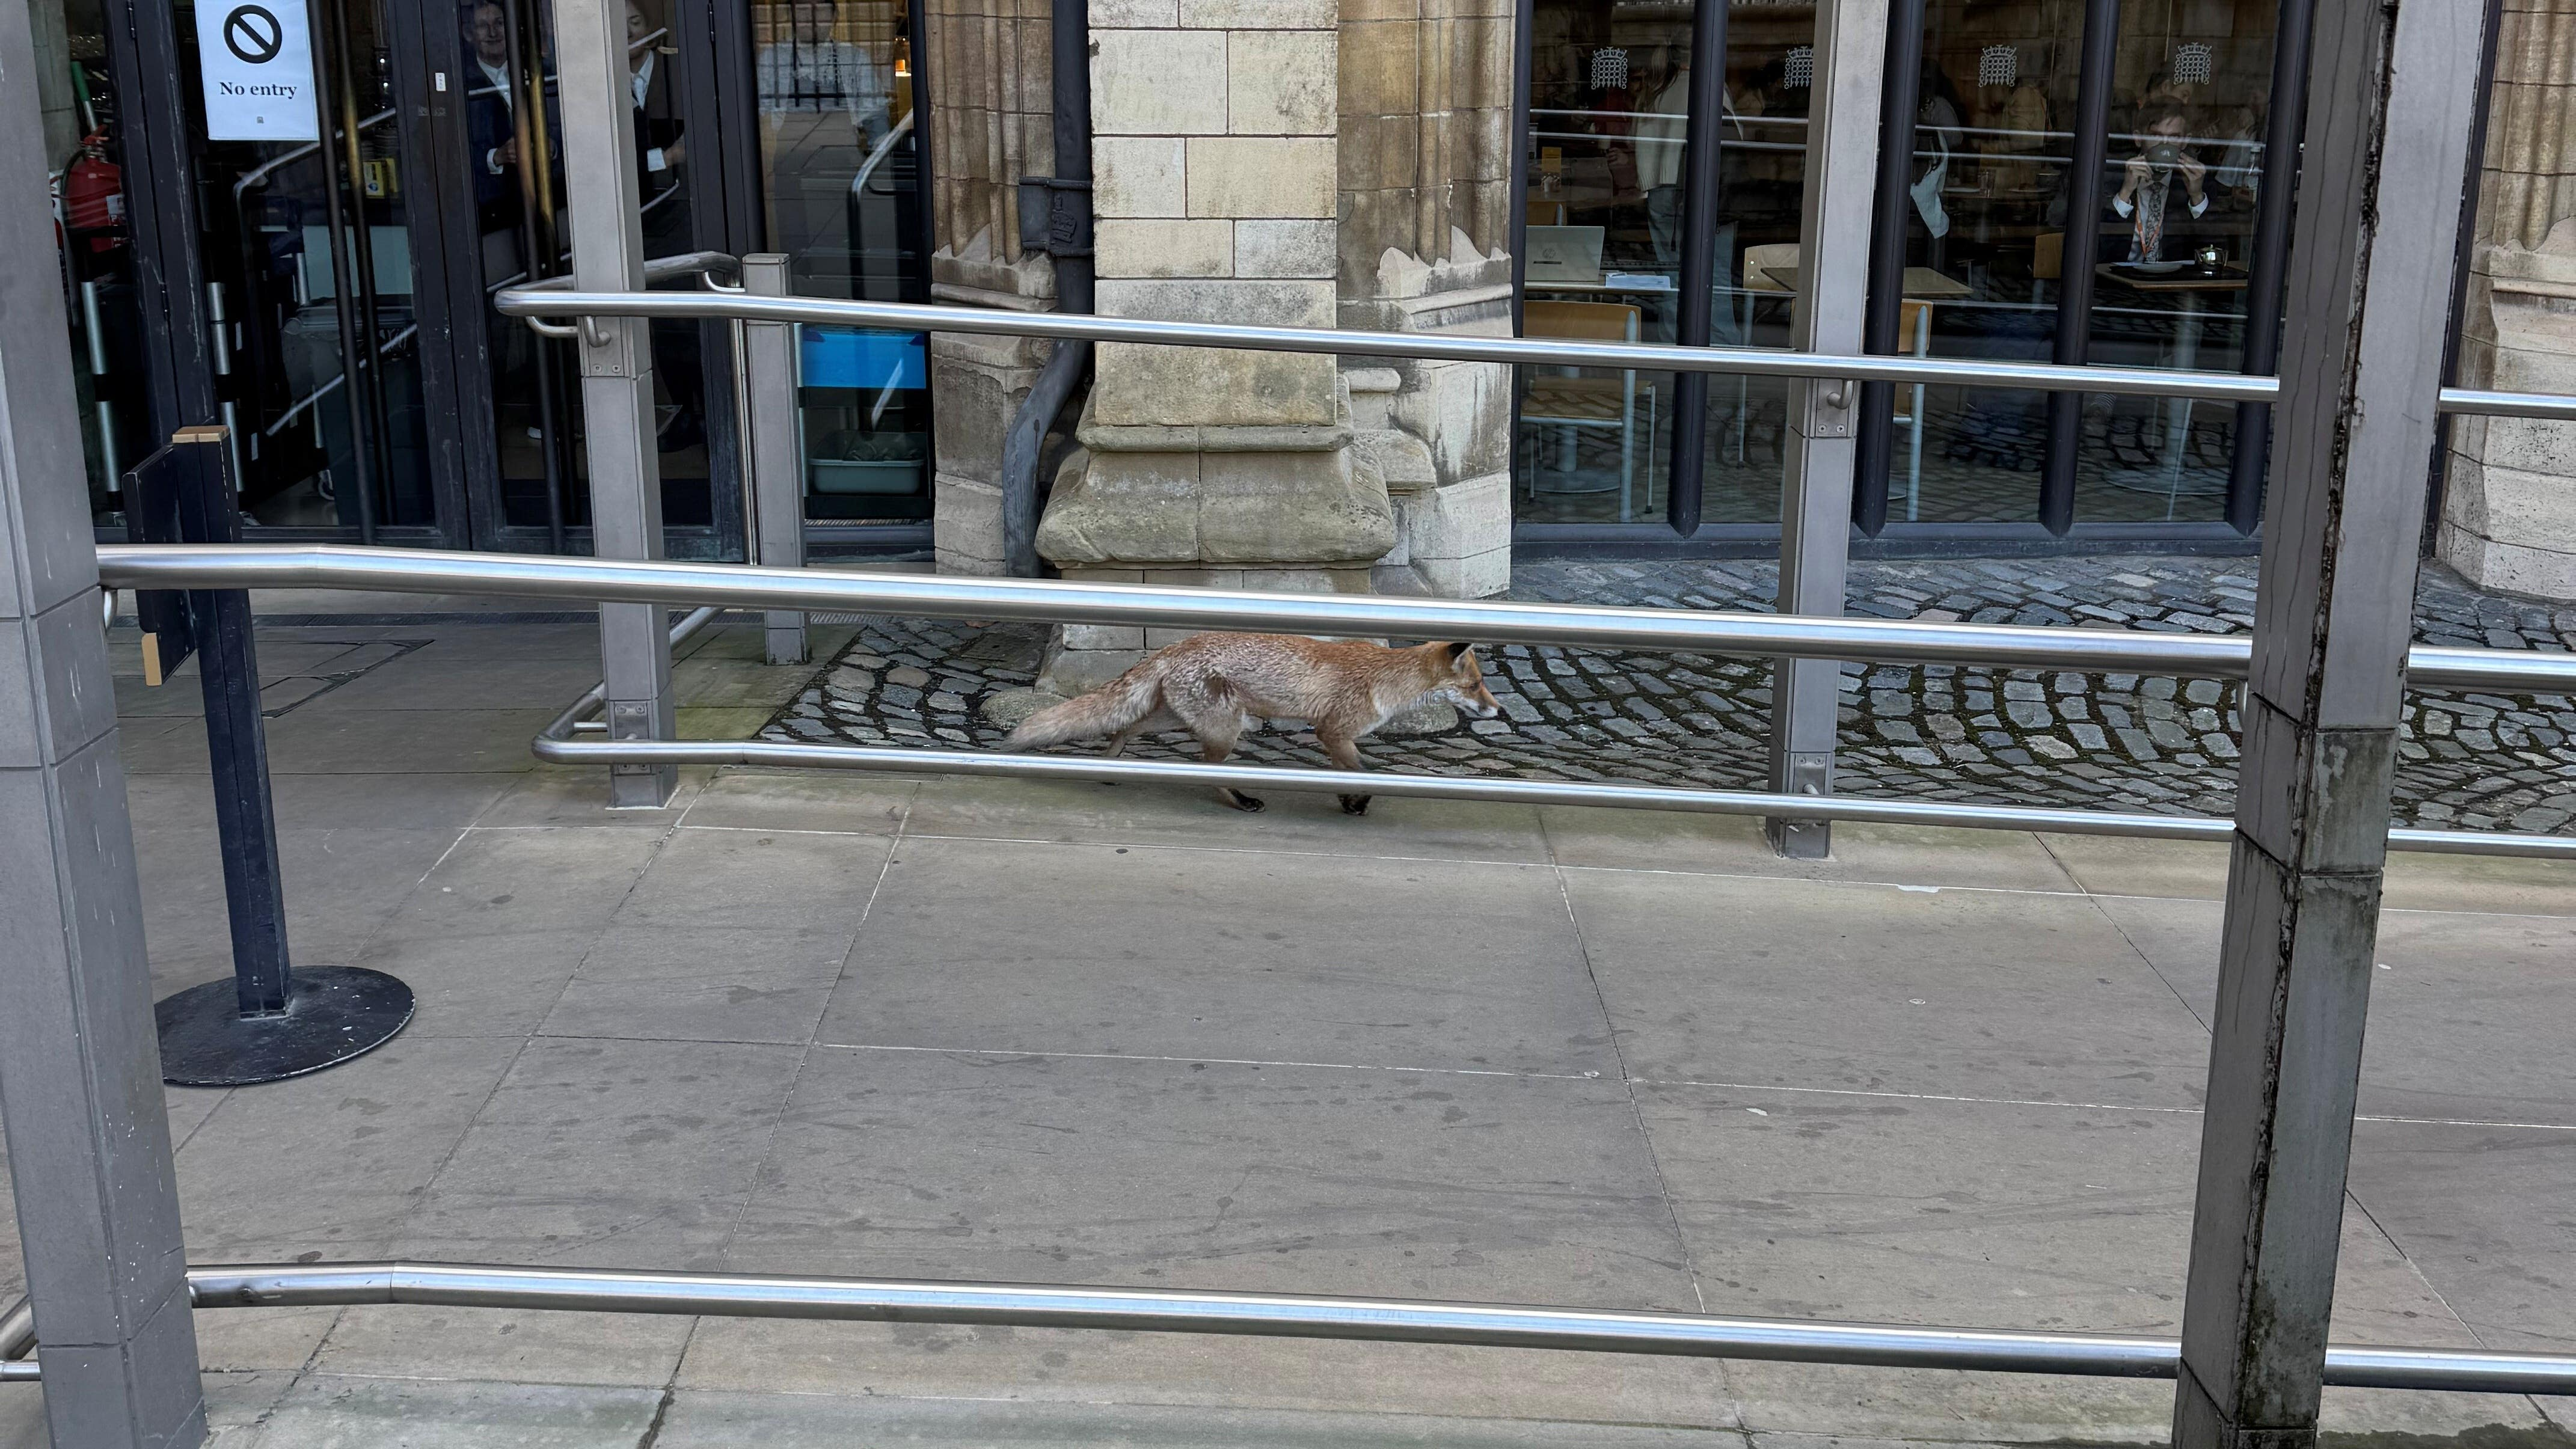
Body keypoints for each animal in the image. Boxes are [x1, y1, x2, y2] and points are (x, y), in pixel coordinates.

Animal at [1003, 633, 1503, 815]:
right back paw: (1242, 801)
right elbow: (1367, 774)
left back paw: (1113, 767)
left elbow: (1350, 773)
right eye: (1477, 685)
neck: (1387, 678)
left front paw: (1348, 801)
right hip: (1225, 729)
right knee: (1208, 773)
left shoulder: (1335, 737)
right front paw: (1358, 800)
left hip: (1173, 719)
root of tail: (1177, 645)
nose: (1498, 710)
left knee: (1123, 728)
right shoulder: (1333, 731)